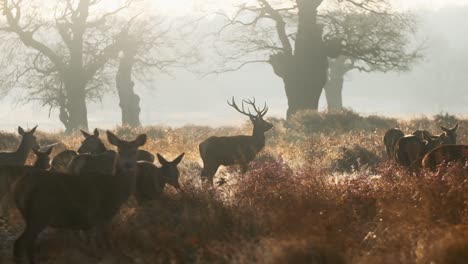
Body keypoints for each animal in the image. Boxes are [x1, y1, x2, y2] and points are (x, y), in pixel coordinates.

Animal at [12, 131, 146, 262]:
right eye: (120, 151)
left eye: (135, 151)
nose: (128, 164)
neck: (116, 190)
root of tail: (18, 188)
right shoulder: (100, 215)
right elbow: (103, 244)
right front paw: (99, 254)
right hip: (39, 214)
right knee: (20, 243)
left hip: (32, 217)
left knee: (28, 244)